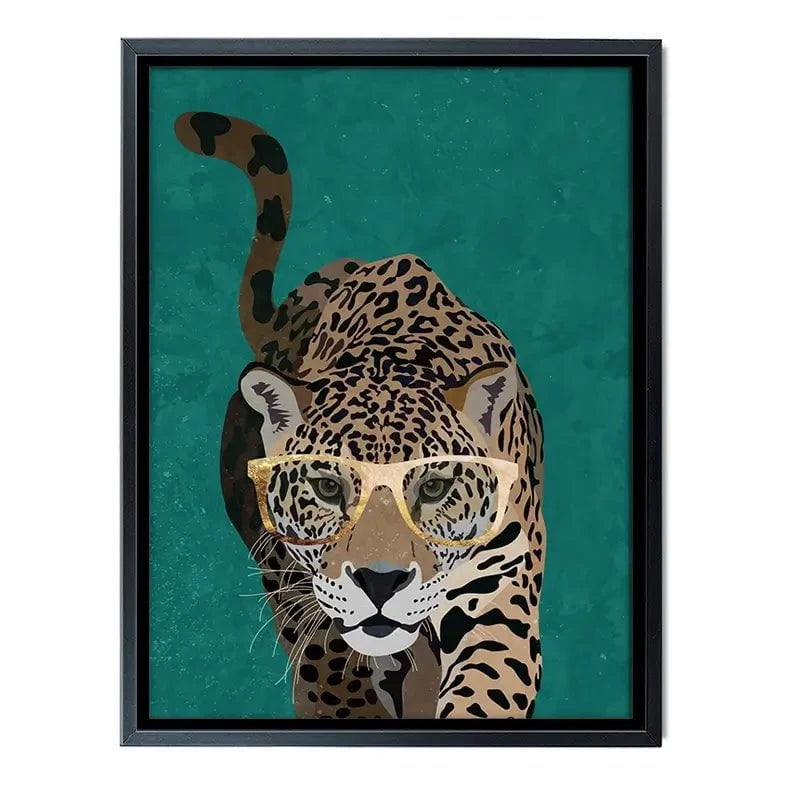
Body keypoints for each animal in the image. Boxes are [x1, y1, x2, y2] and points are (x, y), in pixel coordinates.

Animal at [174, 111, 546, 719]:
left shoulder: (500, 593)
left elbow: (486, 691)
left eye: (436, 487)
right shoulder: (311, 602)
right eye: (327, 487)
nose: (380, 582)